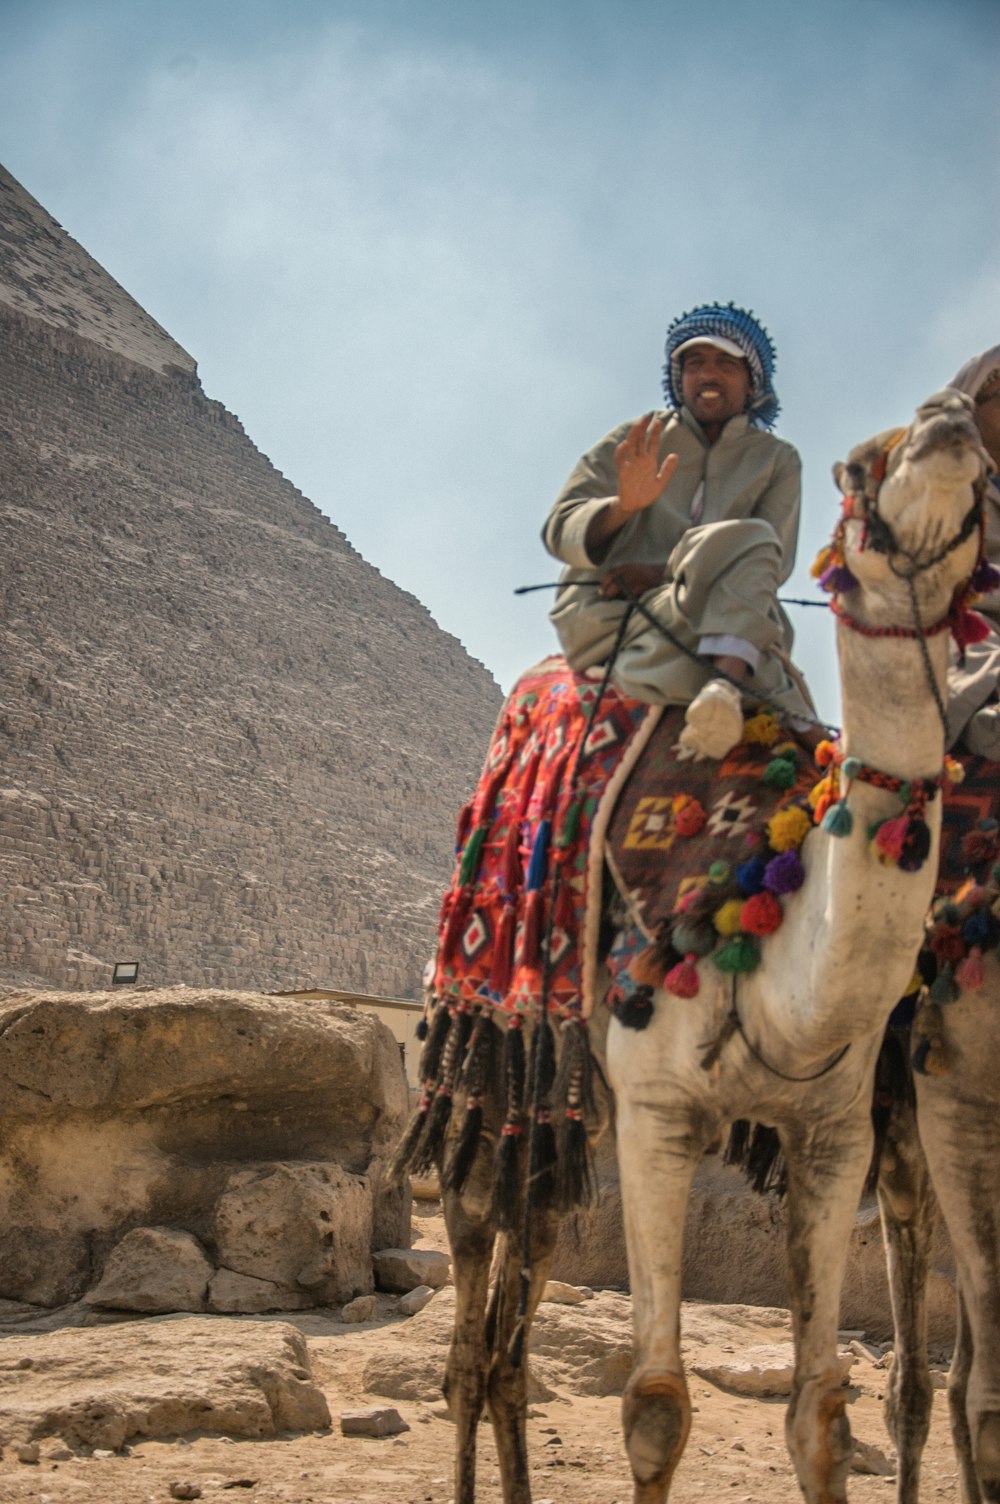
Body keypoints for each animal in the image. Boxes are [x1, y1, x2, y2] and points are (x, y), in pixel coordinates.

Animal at [390, 391, 992, 1504]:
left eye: (985, 479)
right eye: (856, 465)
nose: (948, 420)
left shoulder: (832, 1133)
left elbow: (821, 1414)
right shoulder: (663, 1117)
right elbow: (656, 1408)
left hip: (568, 1110)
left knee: (515, 1316)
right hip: (480, 1052)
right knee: (467, 1306)